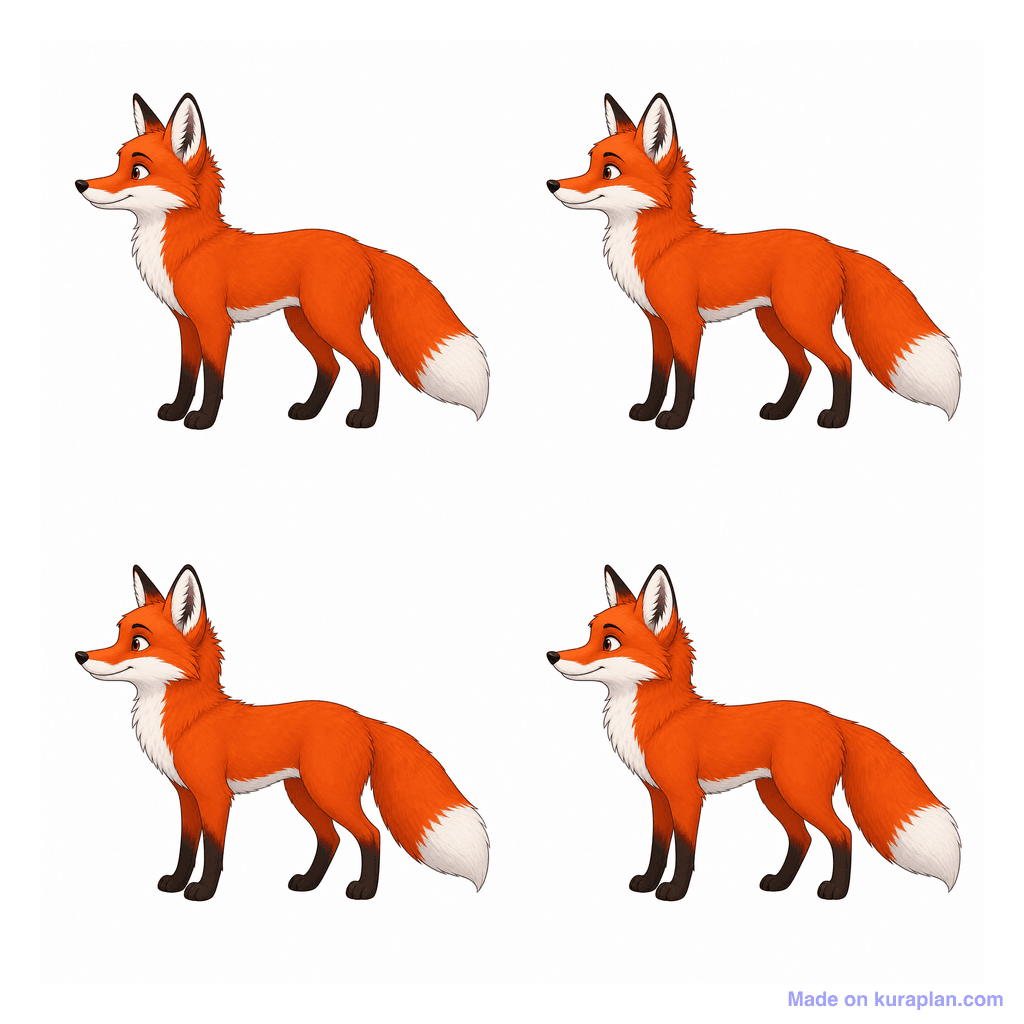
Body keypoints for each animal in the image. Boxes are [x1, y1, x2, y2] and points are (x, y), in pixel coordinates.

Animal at [75, 564, 489, 901]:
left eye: (137, 642)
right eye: (116, 635)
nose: (80, 655)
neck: (191, 718)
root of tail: (361, 717)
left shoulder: (214, 796)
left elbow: (213, 850)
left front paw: (203, 891)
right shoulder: (186, 795)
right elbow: (187, 847)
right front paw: (177, 883)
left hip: (328, 792)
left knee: (370, 835)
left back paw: (364, 891)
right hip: (303, 793)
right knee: (331, 838)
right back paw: (308, 883)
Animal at [76, 94, 488, 429]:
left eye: (137, 171)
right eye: (117, 163)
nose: (80, 184)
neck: (190, 247)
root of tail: (361, 246)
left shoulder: (214, 325)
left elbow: (213, 379)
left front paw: (203, 420)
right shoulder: (186, 324)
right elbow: (186, 375)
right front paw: (177, 411)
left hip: (328, 321)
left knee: (370, 363)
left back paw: (364, 419)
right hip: (303, 322)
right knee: (331, 367)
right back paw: (308, 411)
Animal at [546, 564, 960, 900]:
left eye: (609, 642)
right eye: (588, 635)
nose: (552, 655)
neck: (662, 718)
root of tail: (833, 717)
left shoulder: (686, 796)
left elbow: (684, 850)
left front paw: (675, 891)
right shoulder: (657, 795)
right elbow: (658, 847)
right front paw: (648, 883)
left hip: (800, 792)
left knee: (842, 834)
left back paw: (835, 891)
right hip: (775, 793)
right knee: (803, 838)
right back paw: (780, 883)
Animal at [547, 93, 960, 428]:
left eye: (609, 171)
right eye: (588, 164)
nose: (552, 183)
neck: (662, 247)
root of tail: (832, 246)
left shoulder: (685, 325)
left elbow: (684, 379)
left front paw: (675, 420)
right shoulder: (658, 324)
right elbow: (658, 375)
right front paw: (648, 411)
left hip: (800, 321)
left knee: (841, 363)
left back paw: (835, 419)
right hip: (775, 322)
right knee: (803, 366)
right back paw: (780, 411)